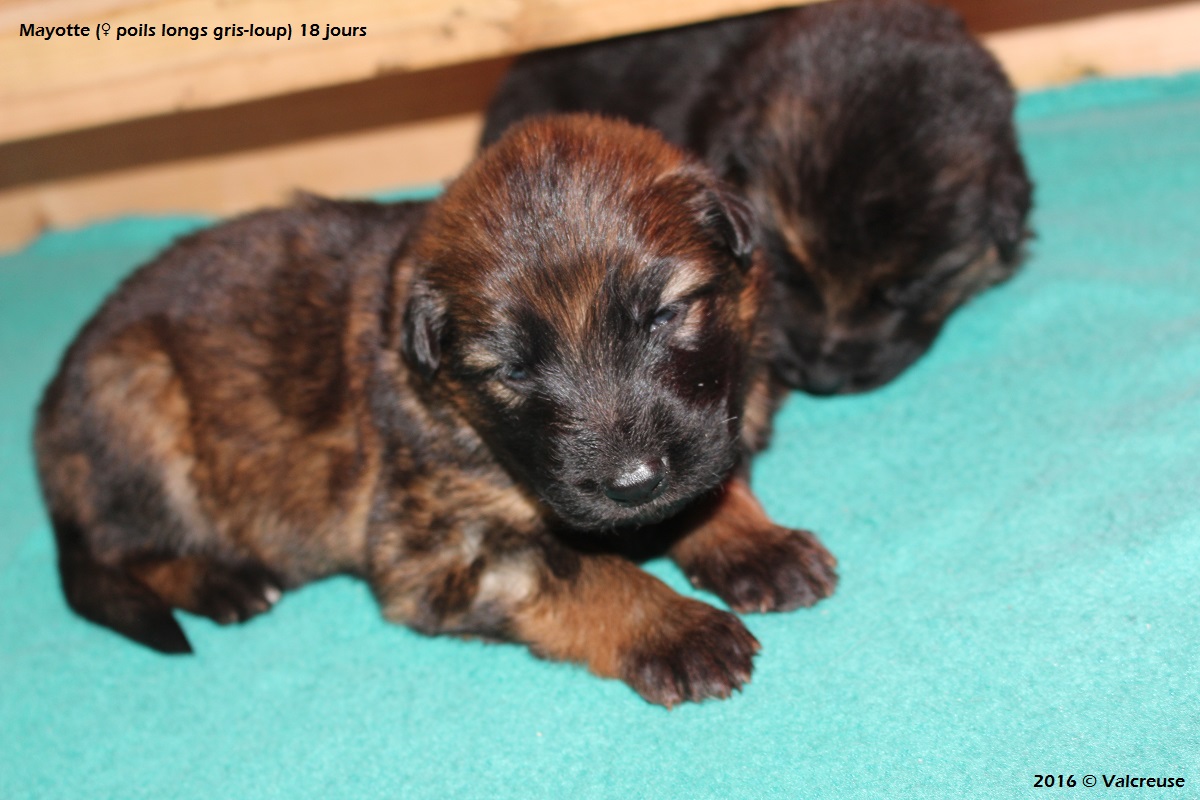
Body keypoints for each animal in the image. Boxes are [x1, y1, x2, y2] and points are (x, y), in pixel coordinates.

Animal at [35, 115, 837, 706]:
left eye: (667, 315)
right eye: (513, 369)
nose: (633, 484)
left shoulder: (714, 422)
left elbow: (706, 480)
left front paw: (753, 543)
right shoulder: (441, 546)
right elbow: (577, 567)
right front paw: (676, 628)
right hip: (139, 401)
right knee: (122, 550)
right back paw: (223, 582)